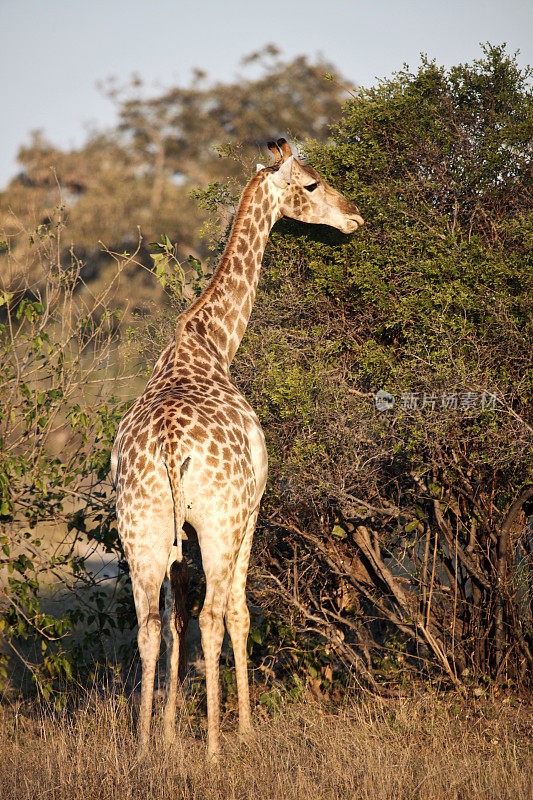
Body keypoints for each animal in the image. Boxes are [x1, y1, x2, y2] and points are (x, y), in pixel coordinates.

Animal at [110, 138, 364, 756]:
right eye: (312, 183)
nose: (354, 216)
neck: (213, 344)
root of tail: (170, 446)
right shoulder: (251, 510)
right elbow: (240, 615)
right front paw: (242, 729)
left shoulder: (178, 535)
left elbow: (174, 618)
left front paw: (169, 733)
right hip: (219, 522)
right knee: (214, 615)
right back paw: (216, 750)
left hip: (141, 527)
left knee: (149, 624)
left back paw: (140, 748)